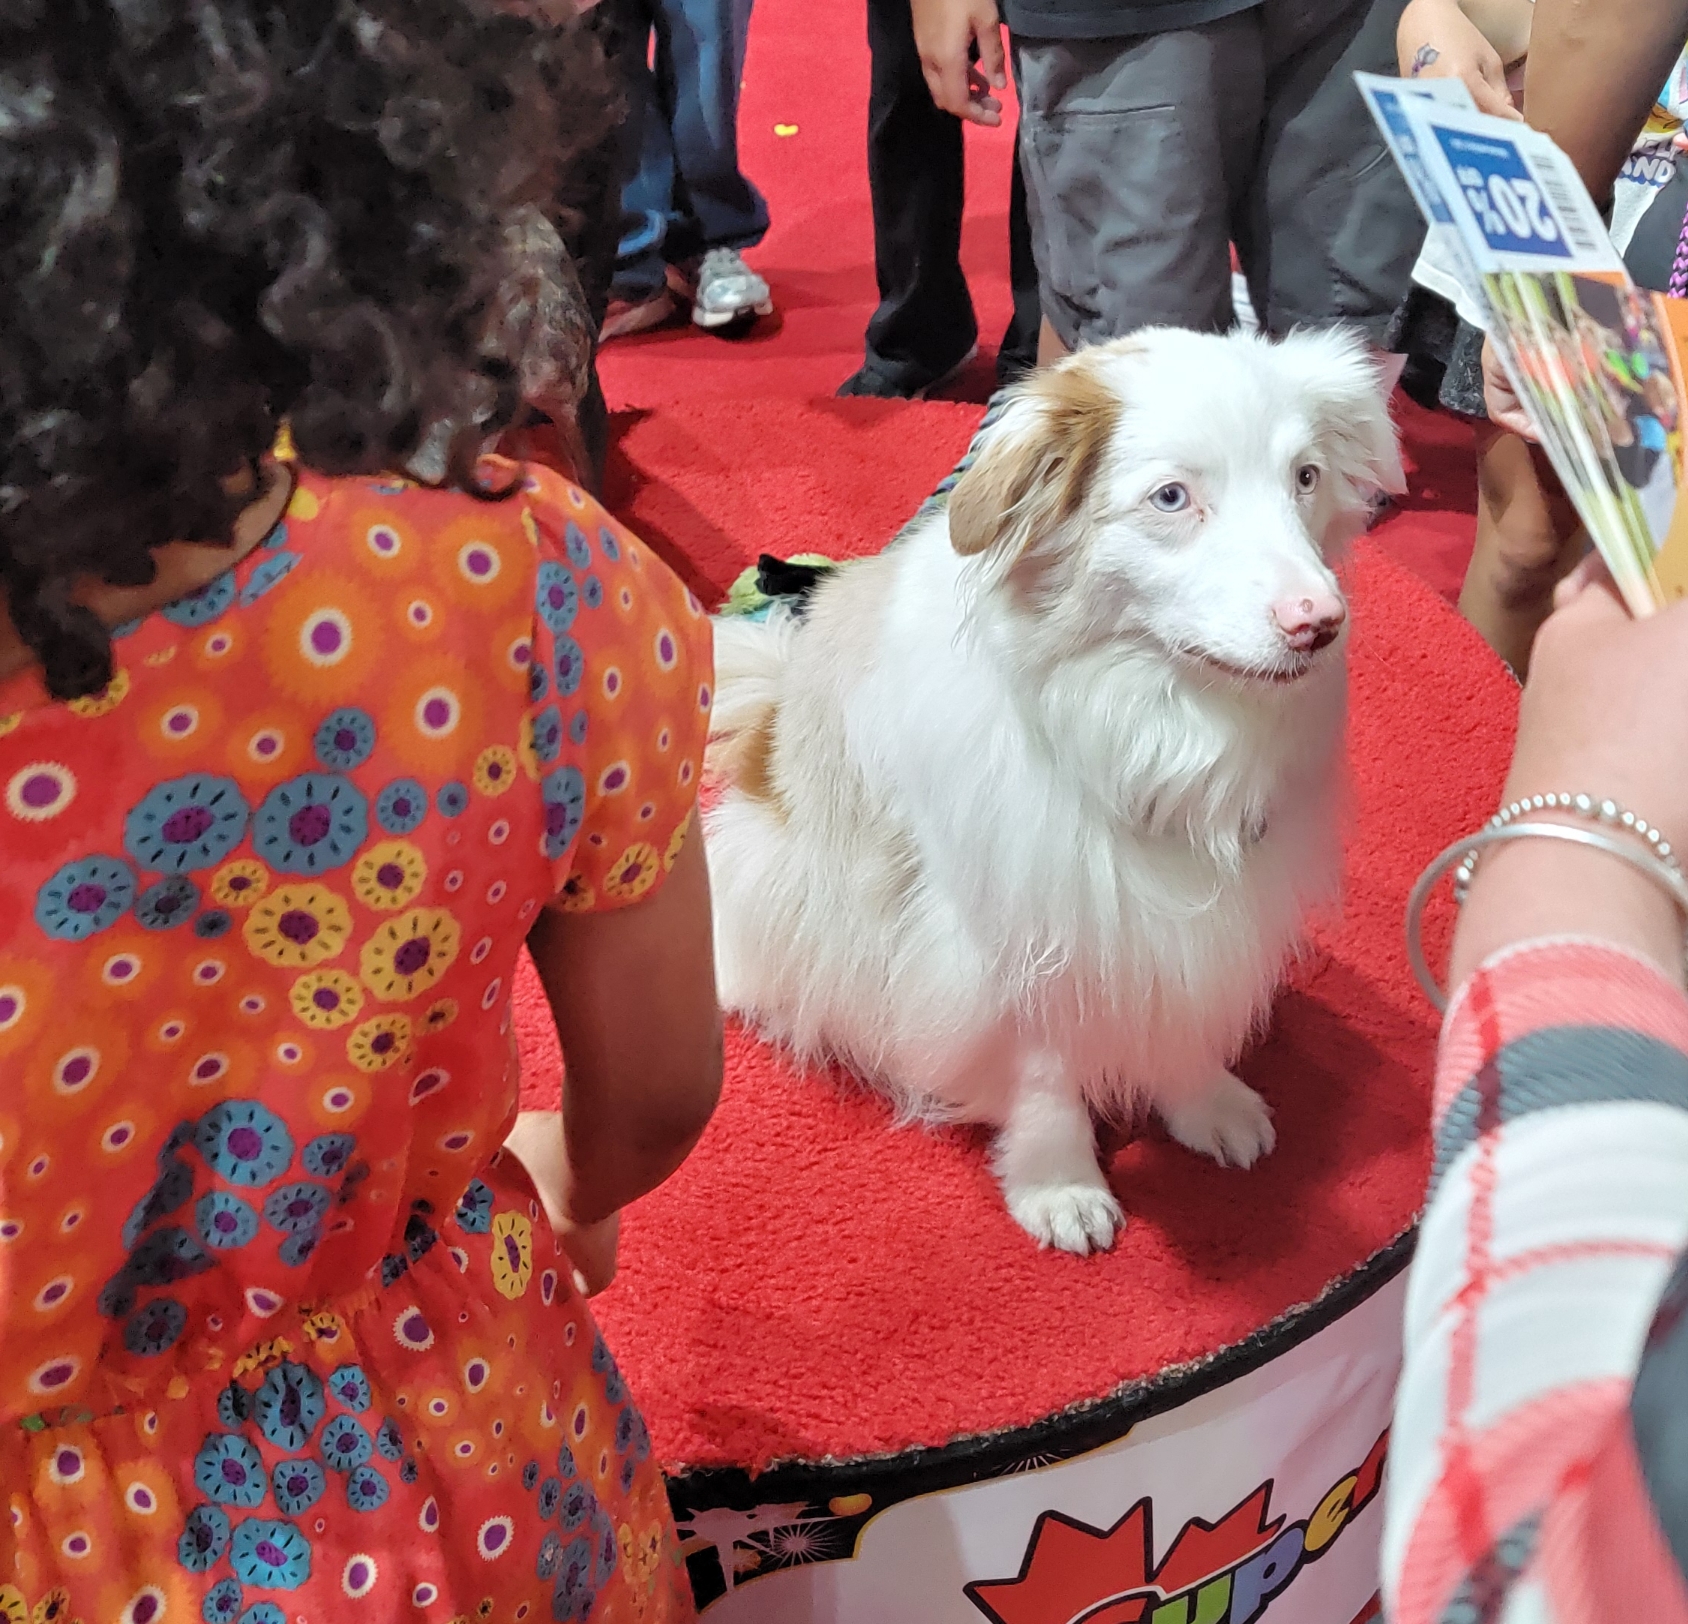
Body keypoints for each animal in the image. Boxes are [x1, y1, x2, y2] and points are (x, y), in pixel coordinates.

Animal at [703, 327, 1403, 1253]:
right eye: (1172, 497)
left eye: (1306, 476)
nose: (1319, 622)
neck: (1143, 720)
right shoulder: (1009, 931)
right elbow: (1042, 1074)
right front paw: (1059, 1181)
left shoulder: (1188, 919)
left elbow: (1179, 1010)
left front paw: (1202, 1098)